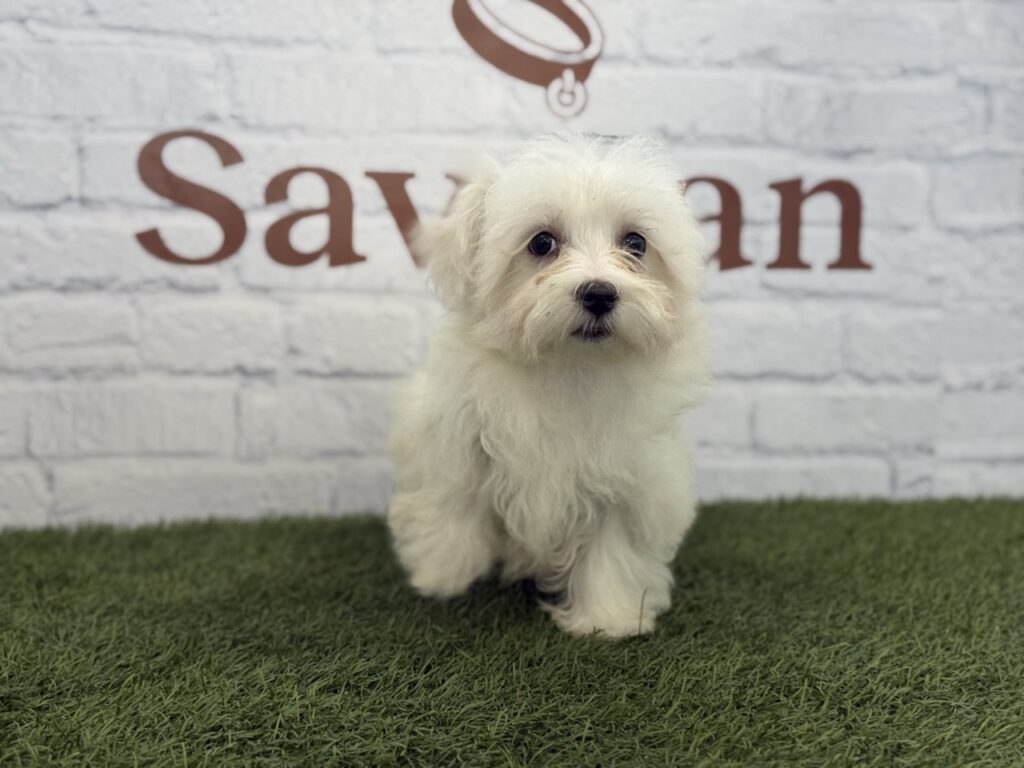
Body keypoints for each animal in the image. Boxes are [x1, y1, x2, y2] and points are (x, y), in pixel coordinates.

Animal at [387, 134, 709, 638]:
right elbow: (454, 509)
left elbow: (612, 546)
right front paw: (441, 579)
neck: (569, 365)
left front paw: (606, 617)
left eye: (635, 242)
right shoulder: (457, 447)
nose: (599, 293)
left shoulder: (628, 474)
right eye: (542, 242)